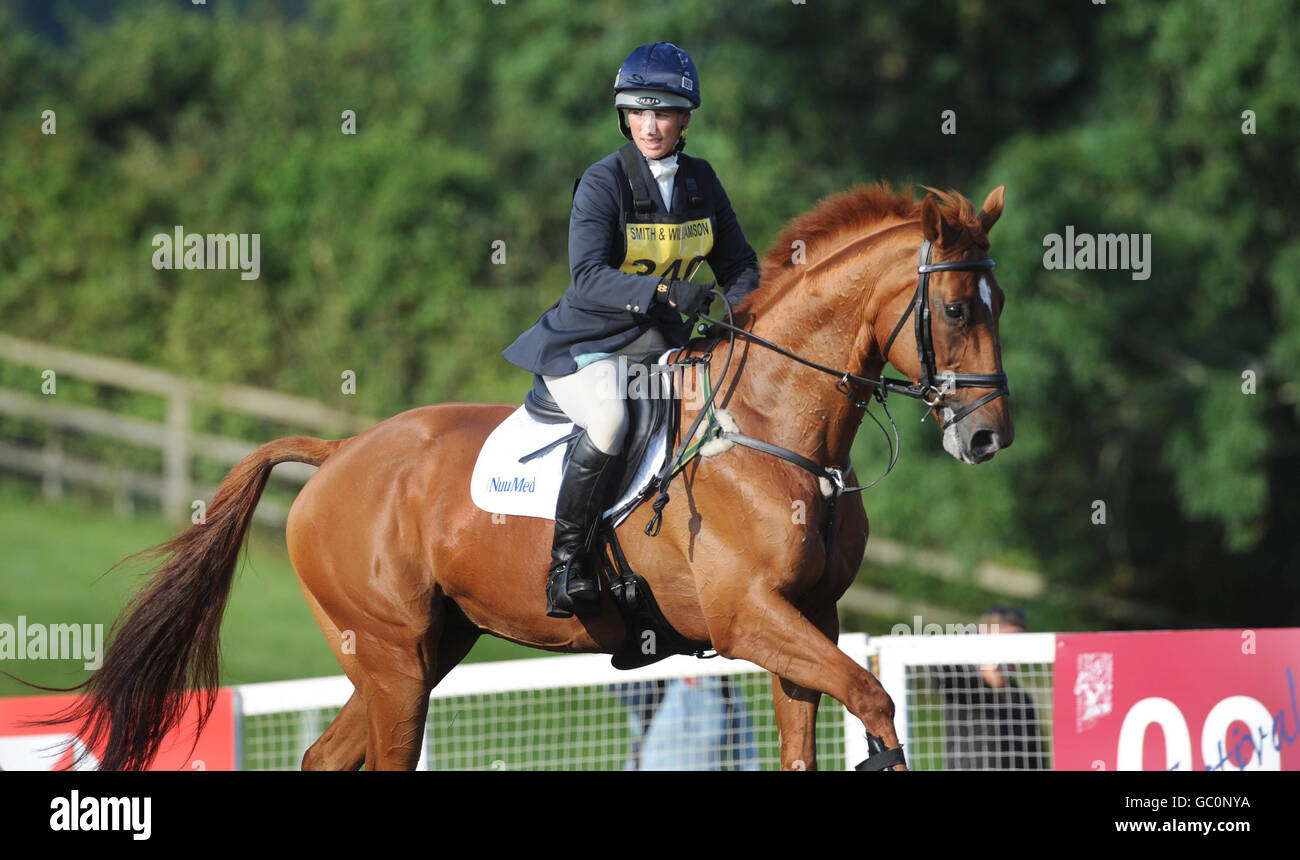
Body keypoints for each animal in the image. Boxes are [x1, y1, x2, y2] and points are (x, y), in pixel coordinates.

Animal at [55, 183, 1008, 774]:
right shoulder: (750, 619)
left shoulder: (810, 618)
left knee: (327, 756)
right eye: (958, 308)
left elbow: (818, 727)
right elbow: (875, 698)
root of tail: (341, 454)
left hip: (423, 652)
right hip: (392, 661)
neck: (776, 431)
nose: (989, 435)